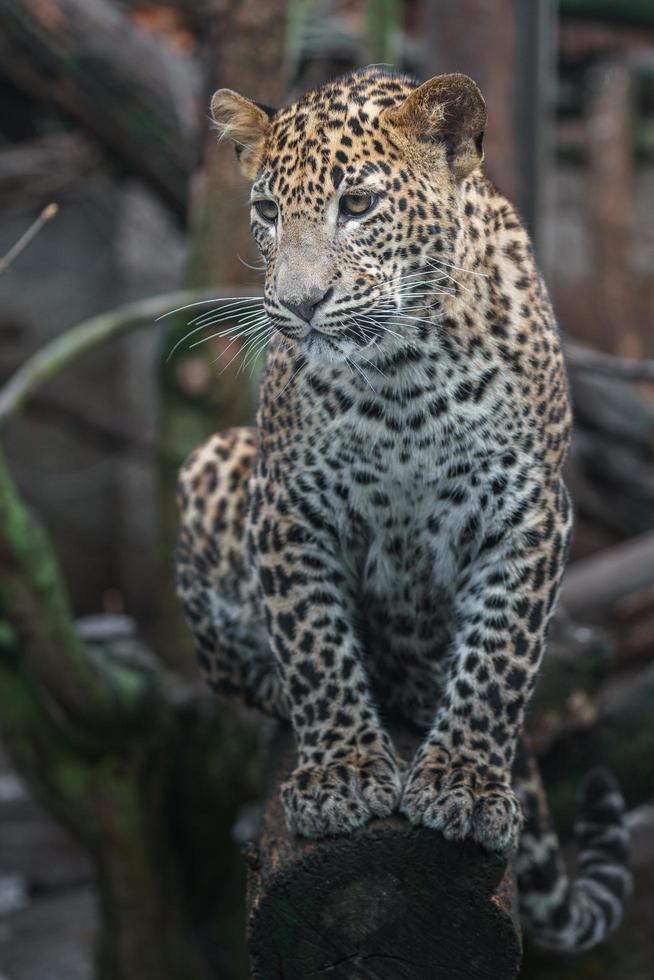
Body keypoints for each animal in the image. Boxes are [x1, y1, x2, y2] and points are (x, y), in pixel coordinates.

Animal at [177, 67, 632, 948]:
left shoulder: (528, 511)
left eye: (357, 204)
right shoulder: (287, 507)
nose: (300, 304)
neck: (404, 375)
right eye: (268, 211)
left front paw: (465, 783)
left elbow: (499, 656)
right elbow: (315, 647)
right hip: (209, 463)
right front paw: (343, 773)